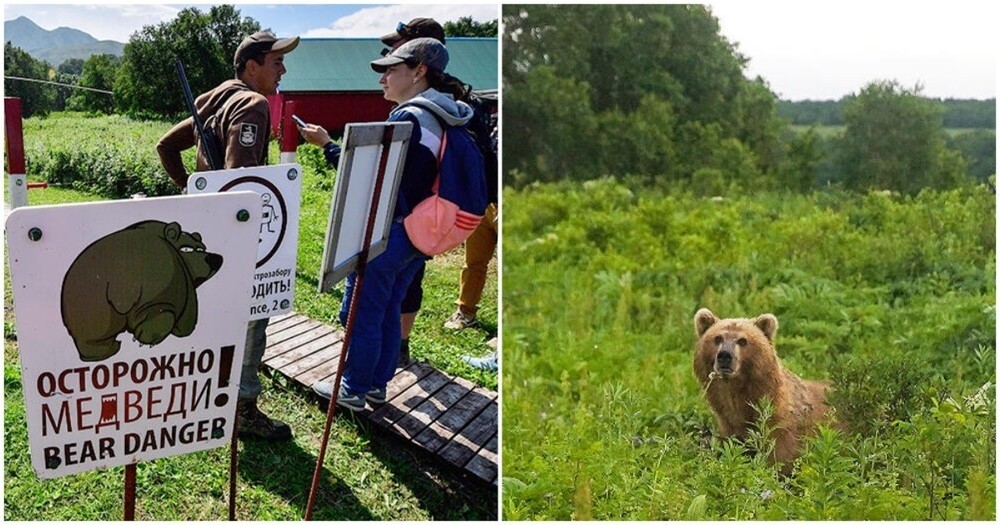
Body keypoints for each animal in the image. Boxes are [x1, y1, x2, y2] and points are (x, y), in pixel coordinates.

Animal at [692, 308, 832, 470]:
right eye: (718, 338)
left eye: (742, 340)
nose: (725, 356)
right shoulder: (728, 426)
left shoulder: (783, 429)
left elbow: (780, 460)